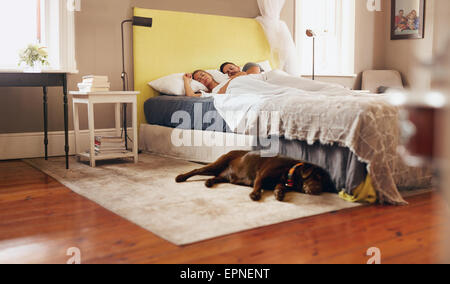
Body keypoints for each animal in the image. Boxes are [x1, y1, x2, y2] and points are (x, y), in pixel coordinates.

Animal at [174, 150, 336, 201]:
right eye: (316, 177)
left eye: (325, 183)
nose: (319, 190)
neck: (289, 171)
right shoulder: (262, 174)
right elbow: (258, 185)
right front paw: (255, 194)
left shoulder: (279, 182)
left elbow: (279, 187)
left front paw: (279, 193)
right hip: (216, 165)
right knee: (196, 170)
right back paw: (180, 177)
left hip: (224, 175)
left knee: (216, 178)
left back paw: (209, 182)